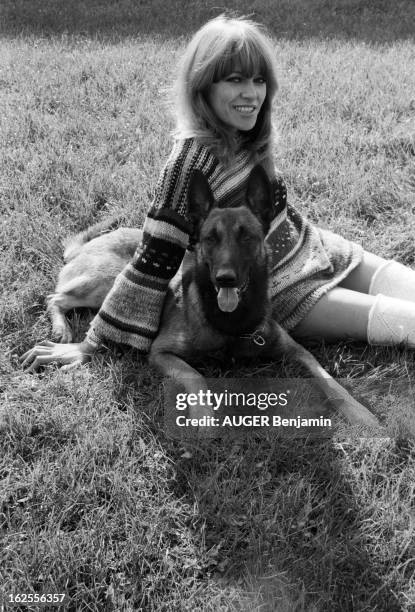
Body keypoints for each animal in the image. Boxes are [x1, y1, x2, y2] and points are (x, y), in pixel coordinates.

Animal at [47, 165, 378, 428]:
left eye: (247, 237)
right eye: (210, 238)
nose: (225, 278)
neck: (232, 322)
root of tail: (86, 246)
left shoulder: (297, 351)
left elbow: (328, 379)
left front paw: (359, 412)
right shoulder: (161, 352)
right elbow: (197, 377)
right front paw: (203, 415)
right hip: (106, 281)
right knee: (55, 298)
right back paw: (62, 327)